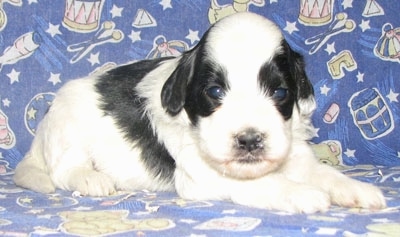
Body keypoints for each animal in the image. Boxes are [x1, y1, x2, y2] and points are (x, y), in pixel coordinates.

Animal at [14, 12, 386, 213]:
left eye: (280, 92)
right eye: (215, 92)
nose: (249, 140)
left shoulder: (294, 154)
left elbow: (322, 172)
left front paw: (357, 190)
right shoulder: (201, 175)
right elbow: (265, 182)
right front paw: (302, 194)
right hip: (68, 129)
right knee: (63, 170)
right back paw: (92, 178)